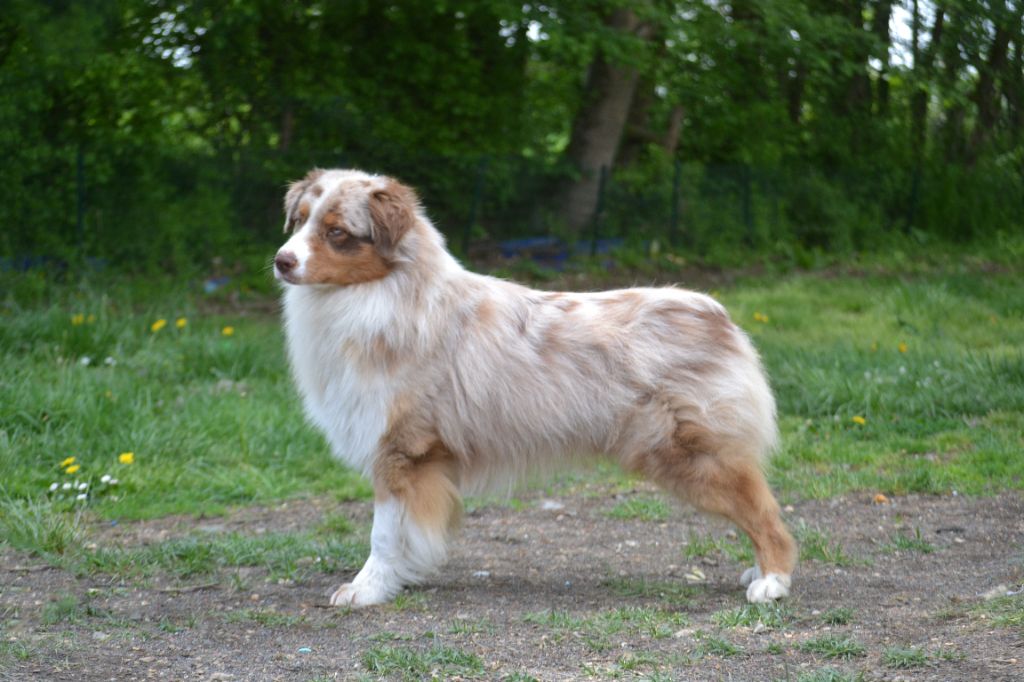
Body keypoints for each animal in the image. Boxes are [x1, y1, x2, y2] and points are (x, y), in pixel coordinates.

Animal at [276, 168, 794, 606]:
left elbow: (382, 534)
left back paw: (771, 580)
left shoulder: (402, 450)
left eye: (337, 233)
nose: (282, 261)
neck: (385, 295)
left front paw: (367, 589)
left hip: (691, 454)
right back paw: (759, 572)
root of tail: (715, 313)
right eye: (298, 221)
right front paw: (397, 579)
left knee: (765, 513)